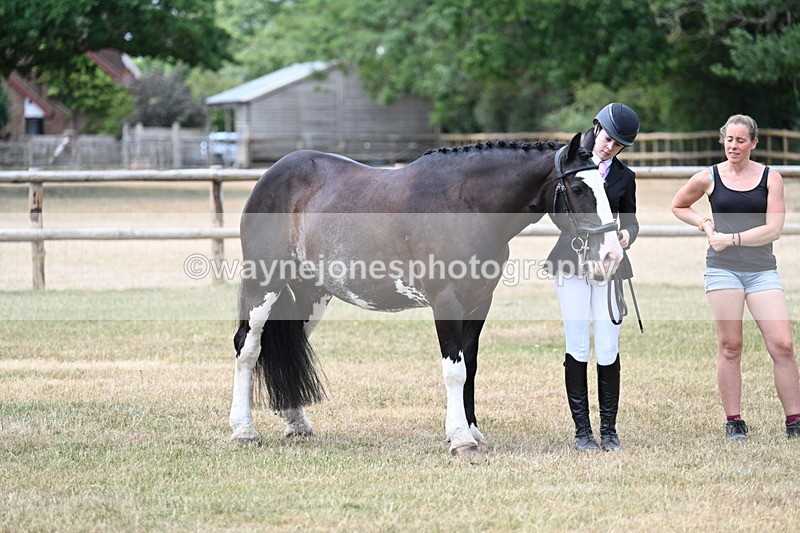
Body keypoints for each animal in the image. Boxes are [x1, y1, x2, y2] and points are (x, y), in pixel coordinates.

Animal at [229, 132, 623, 456]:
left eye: (604, 187)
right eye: (578, 189)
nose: (611, 255)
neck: (464, 205)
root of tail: (272, 175)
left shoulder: (479, 304)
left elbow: (470, 367)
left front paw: (472, 432)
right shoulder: (446, 303)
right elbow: (455, 371)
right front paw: (461, 440)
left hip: (310, 295)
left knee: (287, 342)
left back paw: (296, 422)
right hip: (264, 285)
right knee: (248, 347)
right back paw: (244, 431)